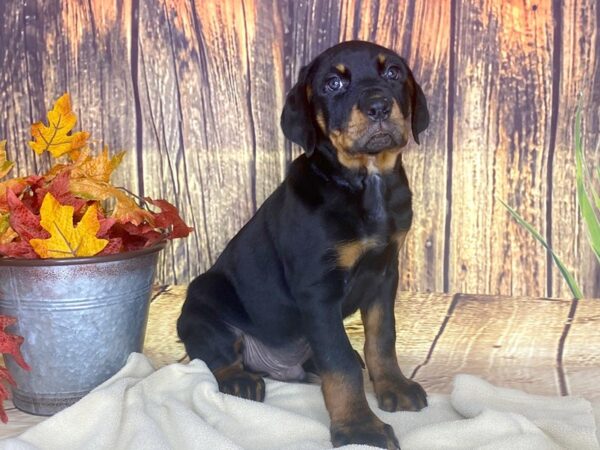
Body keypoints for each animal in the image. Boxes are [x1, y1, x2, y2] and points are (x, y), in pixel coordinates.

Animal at [176, 40, 428, 448]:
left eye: (393, 72)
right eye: (332, 84)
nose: (378, 106)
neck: (365, 180)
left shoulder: (384, 273)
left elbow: (382, 338)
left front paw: (394, 388)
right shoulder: (317, 288)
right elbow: (339, 363)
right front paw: (359, 428)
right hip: (203, 304)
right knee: (214, 354)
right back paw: (240, 380)